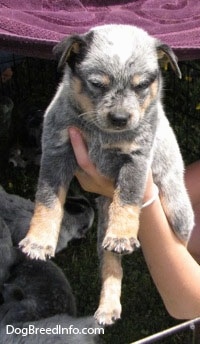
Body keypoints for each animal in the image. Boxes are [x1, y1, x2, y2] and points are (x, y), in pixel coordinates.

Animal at [18, 24, 194, 326]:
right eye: (97, 83)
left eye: (141, 84)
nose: (121, 118)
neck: (100, 134)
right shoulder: (55, 150)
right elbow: (47, 201)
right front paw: (39, 241)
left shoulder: (136, 158)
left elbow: (128, 198)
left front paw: (123, 235)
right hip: (102, 236)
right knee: (112, 265)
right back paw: (108, 308)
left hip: (179, 211)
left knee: (180, 238)